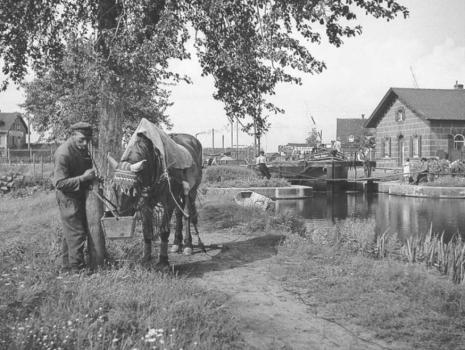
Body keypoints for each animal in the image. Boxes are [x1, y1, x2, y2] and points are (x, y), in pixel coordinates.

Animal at [109, 133, 203, 266]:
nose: (122, 215)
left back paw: (187, 244)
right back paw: (177, 243)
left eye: (132, 189)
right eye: (114, 187)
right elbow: (146, 230)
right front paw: (146, 257)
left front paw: (163, 260)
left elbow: (164, 230)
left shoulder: (168, 202)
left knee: (186, 214)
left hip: (191, 191)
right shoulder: (145, 203)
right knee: (179, 214)